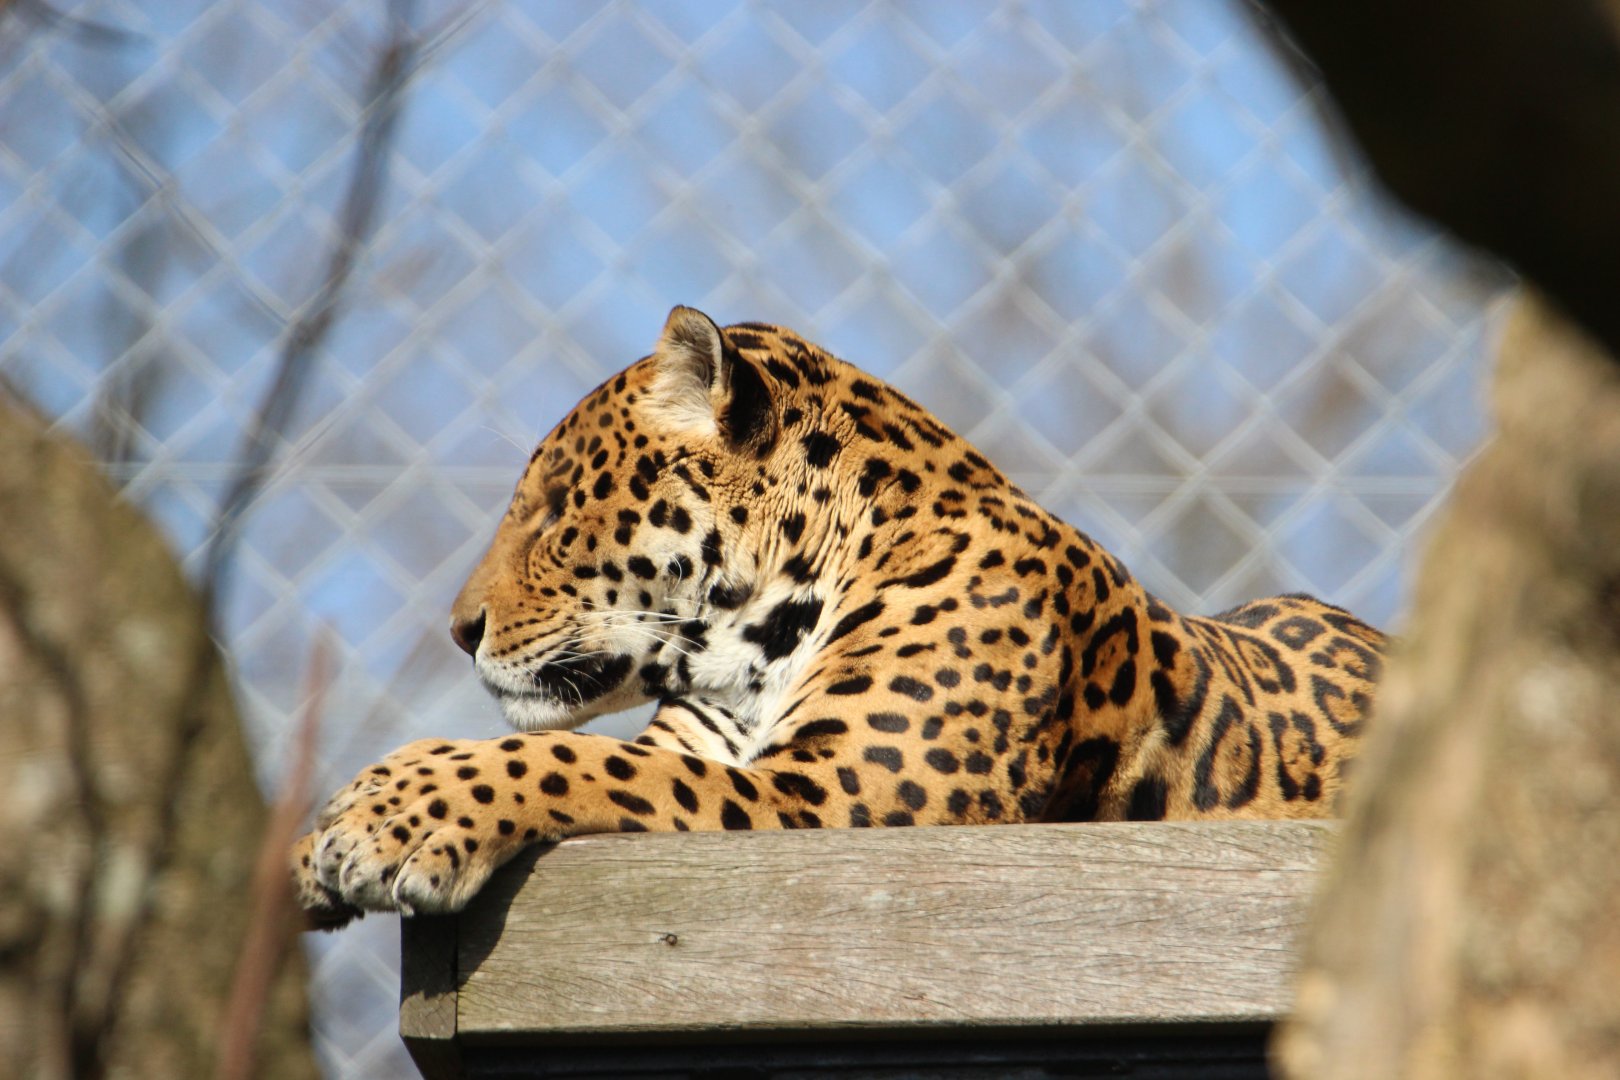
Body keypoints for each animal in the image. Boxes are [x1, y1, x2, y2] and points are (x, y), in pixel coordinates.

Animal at [293, 305, 1385, 928]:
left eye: (560, 510)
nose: (458, 629)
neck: (749, 647)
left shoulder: (831, 796)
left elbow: (569, 757)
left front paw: (391, 814)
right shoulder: (725, 750)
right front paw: (315, 848)